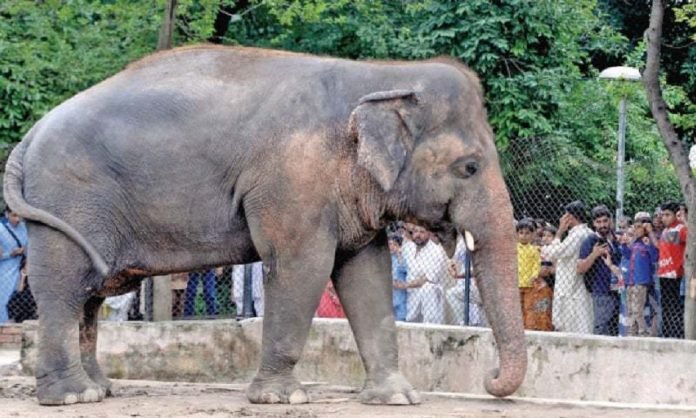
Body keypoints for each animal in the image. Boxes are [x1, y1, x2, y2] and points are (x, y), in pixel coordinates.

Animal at [3, 45, 526, 406]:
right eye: (470, 168)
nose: (489, 380)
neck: (382, 73)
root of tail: (29, 137)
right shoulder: (293, 179)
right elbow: (302, 265)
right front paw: (282, 398)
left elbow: (367, 273)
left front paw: (397, 398)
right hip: (70, 199)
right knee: (67, 288)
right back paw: (74, 397)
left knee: (90, 296)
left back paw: (102, 389)